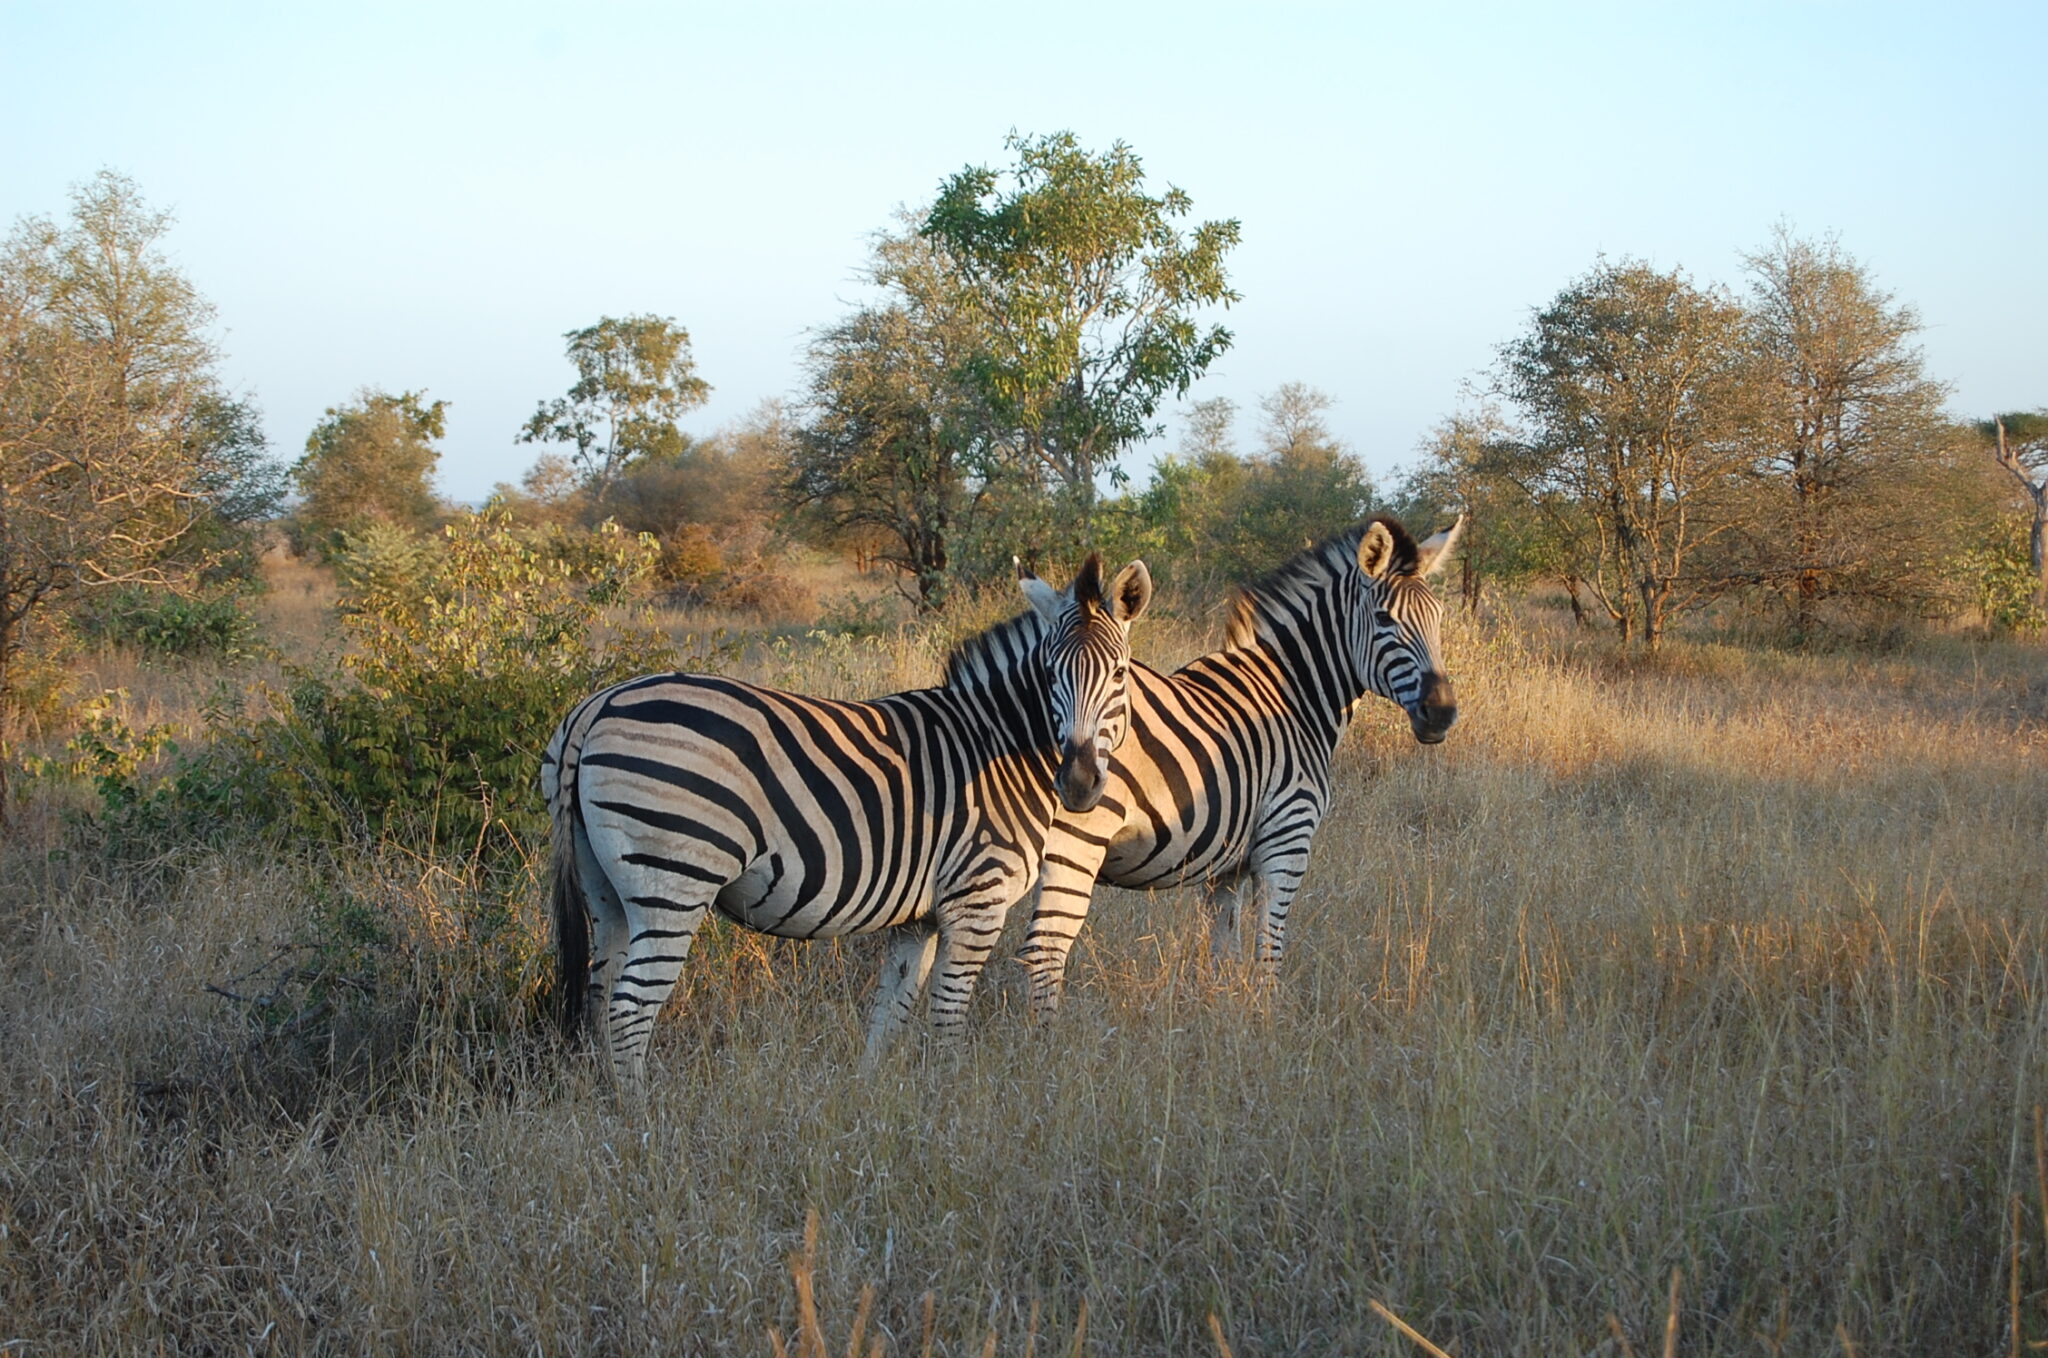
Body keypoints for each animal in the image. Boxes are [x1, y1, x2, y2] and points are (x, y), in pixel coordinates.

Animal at [544, 548, 1155, 1081]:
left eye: (1119, 675)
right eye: (1050, 675)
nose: (1078, 784)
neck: (998, 742)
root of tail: (597, 705)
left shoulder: (920, 917)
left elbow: (891, 1013)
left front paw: (875, 1098)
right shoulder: (976, 900)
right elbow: (948, 1014)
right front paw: (953, 1097)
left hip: (606, 887)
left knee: (600, 996)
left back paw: (603, 1105)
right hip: (673, 879)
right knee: (630, 1009)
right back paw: (641, 1117)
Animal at [1003, 516, 1458, 1015]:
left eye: (1439, 619)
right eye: (1384, 620)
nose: (1442, 712)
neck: (1293, 696)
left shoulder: (1225, 868)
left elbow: (1224, 953)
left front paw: (1223, 1016)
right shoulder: (1287, 839)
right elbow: (1269, 952)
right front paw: (1267, 1020)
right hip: (1076, 842)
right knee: (1042, 952)